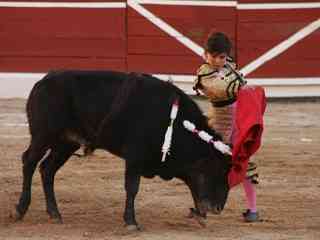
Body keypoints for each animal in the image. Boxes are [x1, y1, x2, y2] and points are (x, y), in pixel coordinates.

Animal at [15, 70, 230, 229]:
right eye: (215, 171)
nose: (219, 207)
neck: (171, 122)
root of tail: (41, 82)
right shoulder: (134, 157)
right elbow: (132, 187)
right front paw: (131, 222)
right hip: (43, 135)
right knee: (29, 162)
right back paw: (20, 209)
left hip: (66, 143)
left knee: (47, 169)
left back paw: (55, 214)